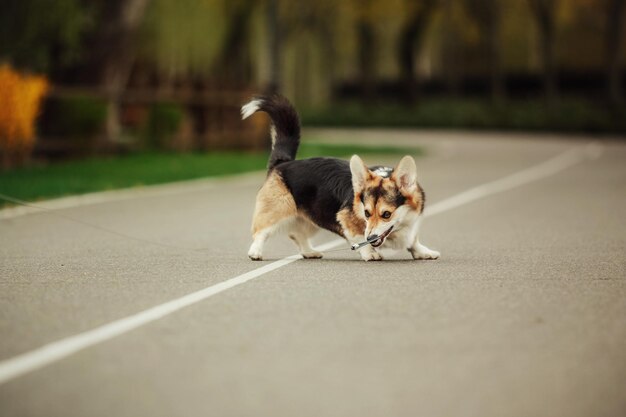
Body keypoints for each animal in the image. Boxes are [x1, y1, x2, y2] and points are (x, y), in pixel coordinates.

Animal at [240, 96, 438, 262]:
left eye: (386, 214)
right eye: (366, 213)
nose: (371, 238)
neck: (400, 227)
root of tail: (283, 162)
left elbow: (413, 240)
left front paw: (423, 252)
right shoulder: (345, 219)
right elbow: (358, 236)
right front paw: (370, 253)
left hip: (314, 215)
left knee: (297, 234)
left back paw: (310, 252)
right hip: (277, 209)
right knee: (261, 232)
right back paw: (255, 252)